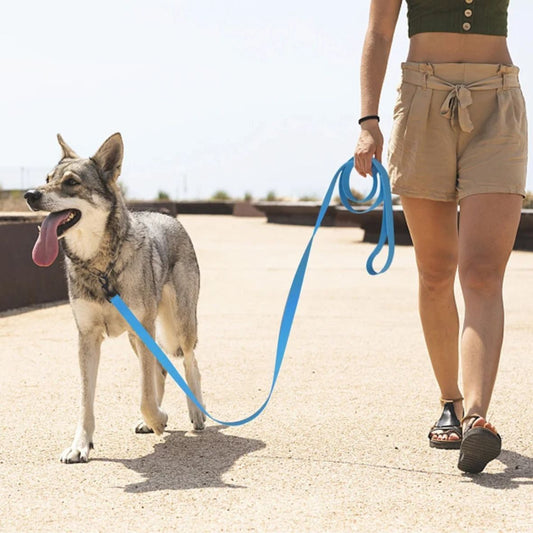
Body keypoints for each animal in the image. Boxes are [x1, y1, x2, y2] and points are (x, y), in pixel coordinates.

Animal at [26, 132, 207, 462]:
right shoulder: (87, 337)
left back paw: (196, 413)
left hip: (179, 325)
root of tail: (169, 217)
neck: (100, 266)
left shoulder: (142, 327)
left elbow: (145, 397)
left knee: (189, 363)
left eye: (71, 182)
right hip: (140, 338)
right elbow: (87, 401)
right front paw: (80, 445)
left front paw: (159, 418)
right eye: (47, 179)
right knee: (161, 369)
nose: (29, 194)